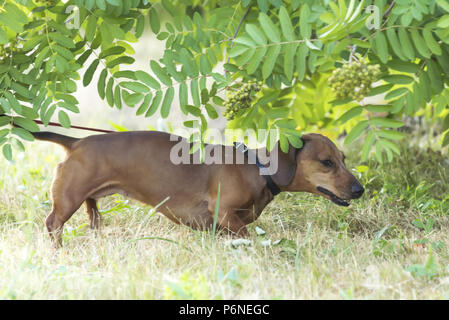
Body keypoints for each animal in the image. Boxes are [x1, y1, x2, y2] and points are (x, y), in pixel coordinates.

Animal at [29, 131, 362, 246]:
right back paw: (58, 251)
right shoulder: (225, 213)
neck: (257, 168)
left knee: (93, 218)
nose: (359, 190)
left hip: (89, 201)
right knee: (53, 223)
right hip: (68, 200)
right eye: (326, 162)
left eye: (343, 159)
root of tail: (76, 142)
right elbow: (247, 235)